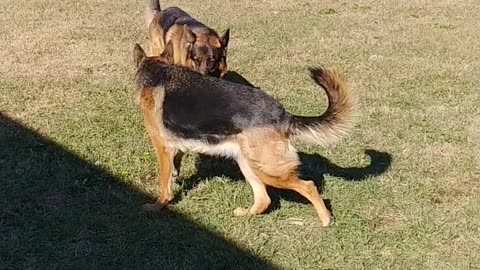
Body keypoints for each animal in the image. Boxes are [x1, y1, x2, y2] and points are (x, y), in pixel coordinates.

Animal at [133, 42, 358, 227]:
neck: (158, 72)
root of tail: (284, 115)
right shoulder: (175, 148)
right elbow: (174, 169)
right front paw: (175, 180)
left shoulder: (162, 149)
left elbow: (164, 185)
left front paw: (157, 205)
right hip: (248, 163)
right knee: (264, 200)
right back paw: (245, 214)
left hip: (268, 169)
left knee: (309, 186)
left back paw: (325, 219)